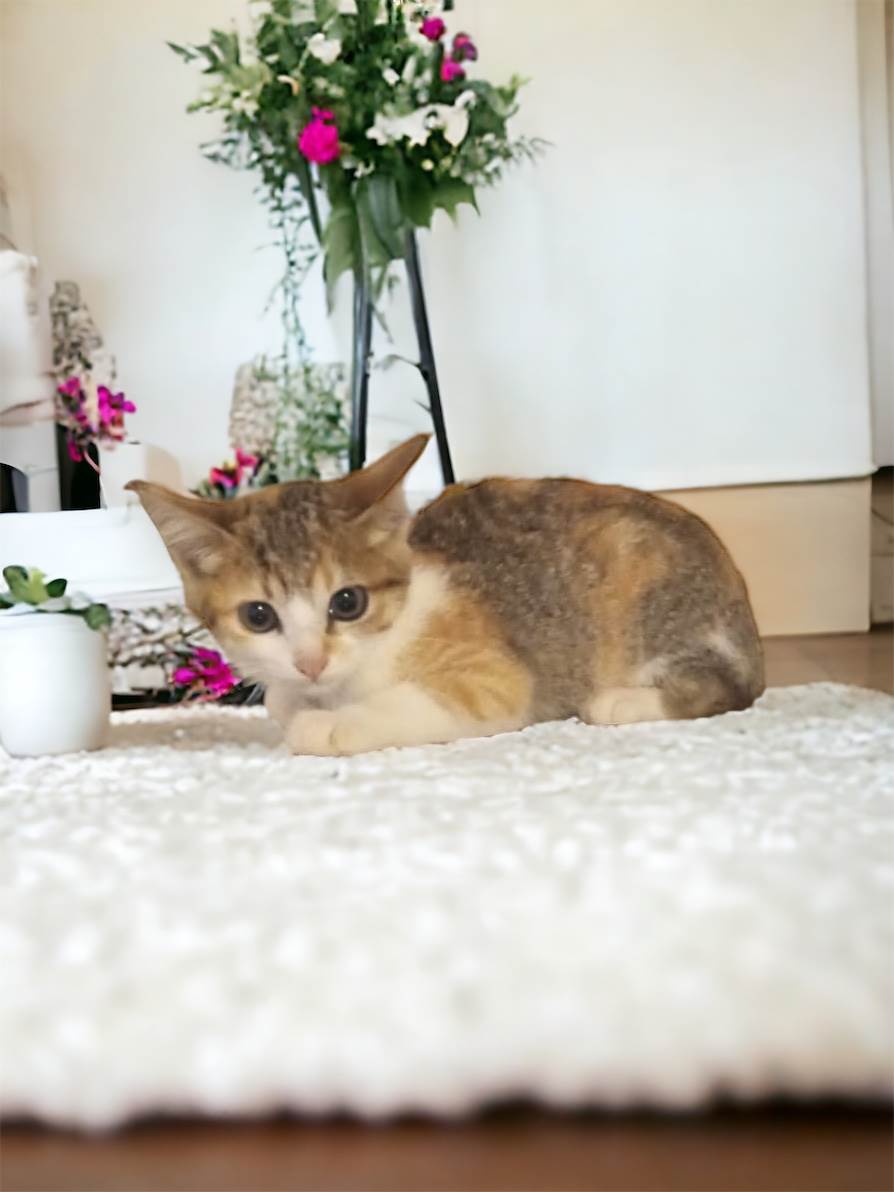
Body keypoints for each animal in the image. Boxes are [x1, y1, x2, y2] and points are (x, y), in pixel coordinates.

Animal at [129, 435, 764, 756]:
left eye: (347, 602)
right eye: (258, 615)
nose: (311, 662)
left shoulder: (495, 675)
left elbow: (430, 699)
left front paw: (324, 726)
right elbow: (278, 699)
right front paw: (295, 702)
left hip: (641, 569)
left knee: (726, 689)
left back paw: (622, 702)